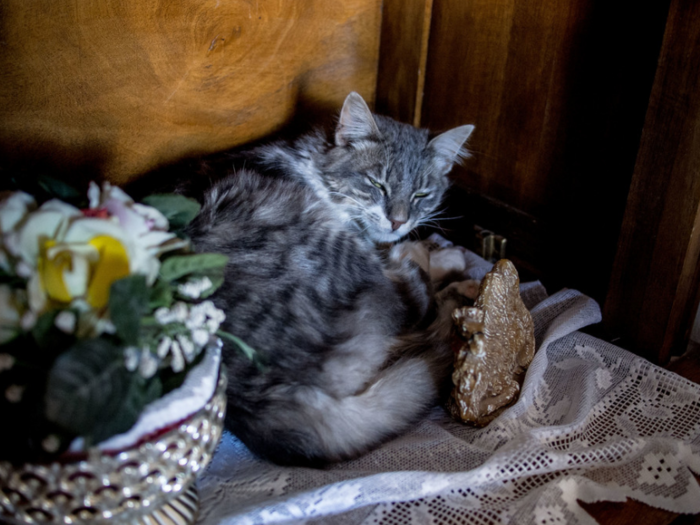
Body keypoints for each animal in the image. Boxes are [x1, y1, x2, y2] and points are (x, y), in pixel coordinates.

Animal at [183, 93, 474, 462]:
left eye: (421, 195)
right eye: (377, 184)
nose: (398, 221)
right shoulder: (369, 246)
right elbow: (413, 259)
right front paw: (445, 257)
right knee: (418, 315)